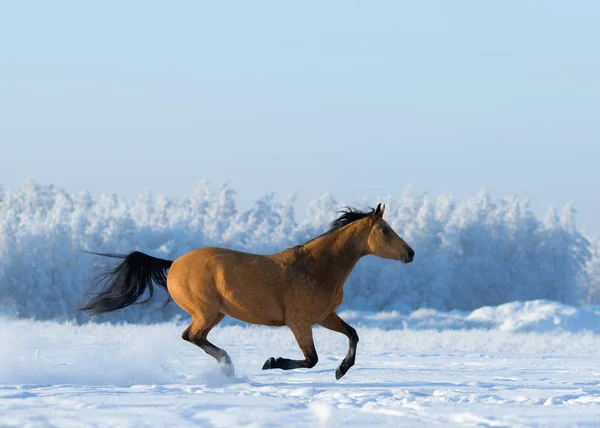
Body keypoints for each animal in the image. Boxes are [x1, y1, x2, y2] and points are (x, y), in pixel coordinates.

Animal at [79, 202, 414, 380]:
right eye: (385, 231)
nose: (410, 254)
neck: (317, 266)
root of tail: (173, 264)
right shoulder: (299, 323)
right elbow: (311, 359)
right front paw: (272, 362)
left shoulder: (325, 316)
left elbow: (353, 334)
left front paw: (342, 370)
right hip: (206, 311)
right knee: (191, 336)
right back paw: (229, 366)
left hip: (215, 314)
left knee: (195, 337)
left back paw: (227, 366)